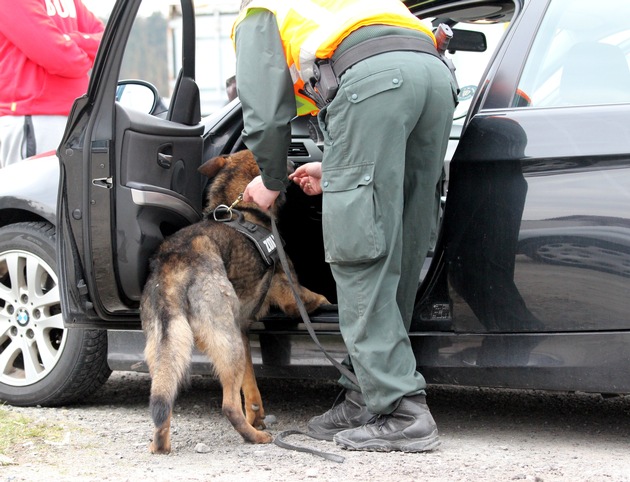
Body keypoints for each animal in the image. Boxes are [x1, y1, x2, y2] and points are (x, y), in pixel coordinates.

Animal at [141, 151, 328, 452]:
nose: (293, 162)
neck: (240, 208)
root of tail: (173, 263)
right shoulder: (290, 294)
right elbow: (310, 296)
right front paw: (325, 299)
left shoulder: (242, 333)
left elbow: (250, 387)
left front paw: (257, 415)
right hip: (226, 342)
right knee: (228, 405)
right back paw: (255, 438)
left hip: (168, 347)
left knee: (162, 400)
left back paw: (160, 444)